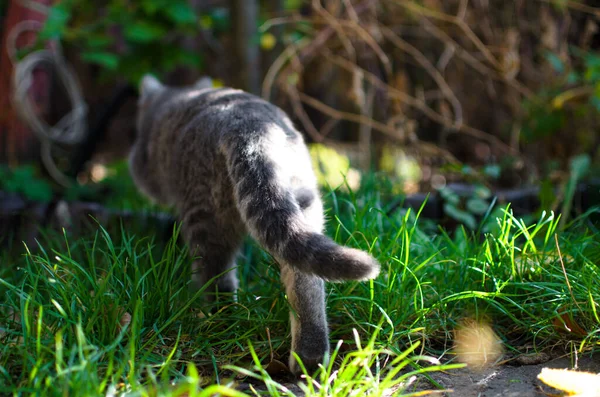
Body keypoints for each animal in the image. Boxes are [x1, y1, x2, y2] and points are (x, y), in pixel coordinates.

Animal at [128, 75, 380, 374]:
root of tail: (253, 128)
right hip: (303, 203)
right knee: (305, 281)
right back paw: (309, 357)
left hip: (206, 216)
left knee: (217, 274)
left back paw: (218, 318)